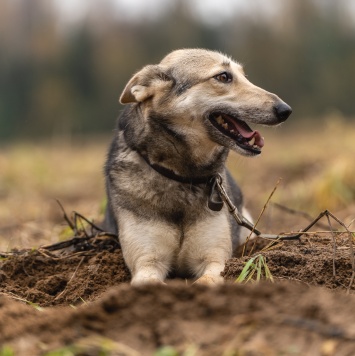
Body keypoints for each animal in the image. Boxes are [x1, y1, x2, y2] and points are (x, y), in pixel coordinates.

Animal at [103, 48, 292, 286]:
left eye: (244, 76)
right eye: (223, 76)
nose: (285, 110)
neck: (183, 177)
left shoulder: (215, 259)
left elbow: (206, 281)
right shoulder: (147, 262)